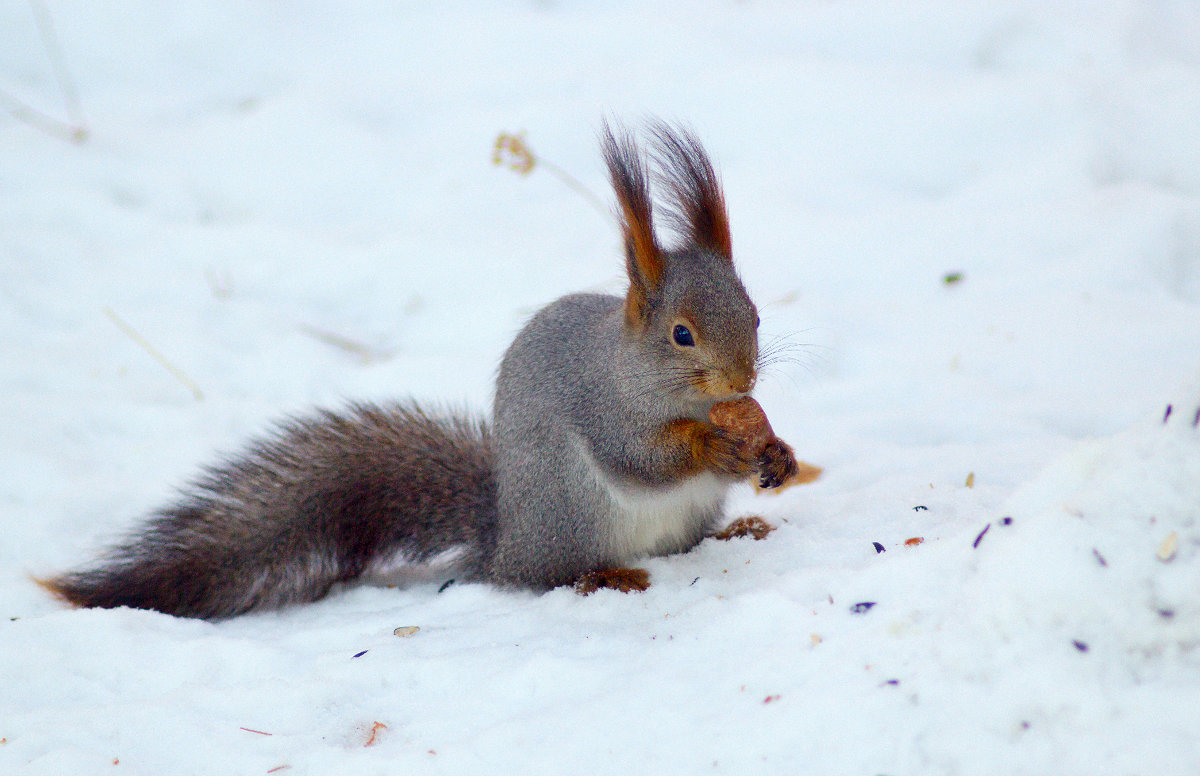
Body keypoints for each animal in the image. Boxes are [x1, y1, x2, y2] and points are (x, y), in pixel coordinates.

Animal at [42, 121, 801, 618]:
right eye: (681, 335)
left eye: (757, 316)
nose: (743, 384)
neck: (655, 382)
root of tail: (505, 542)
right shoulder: (601, 406)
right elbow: (641, 459)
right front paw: (713, 445)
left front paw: (776, 453)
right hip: (569, 513)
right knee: (547, 577)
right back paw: (602, 579)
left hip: (675, 521)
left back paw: (738, 530)